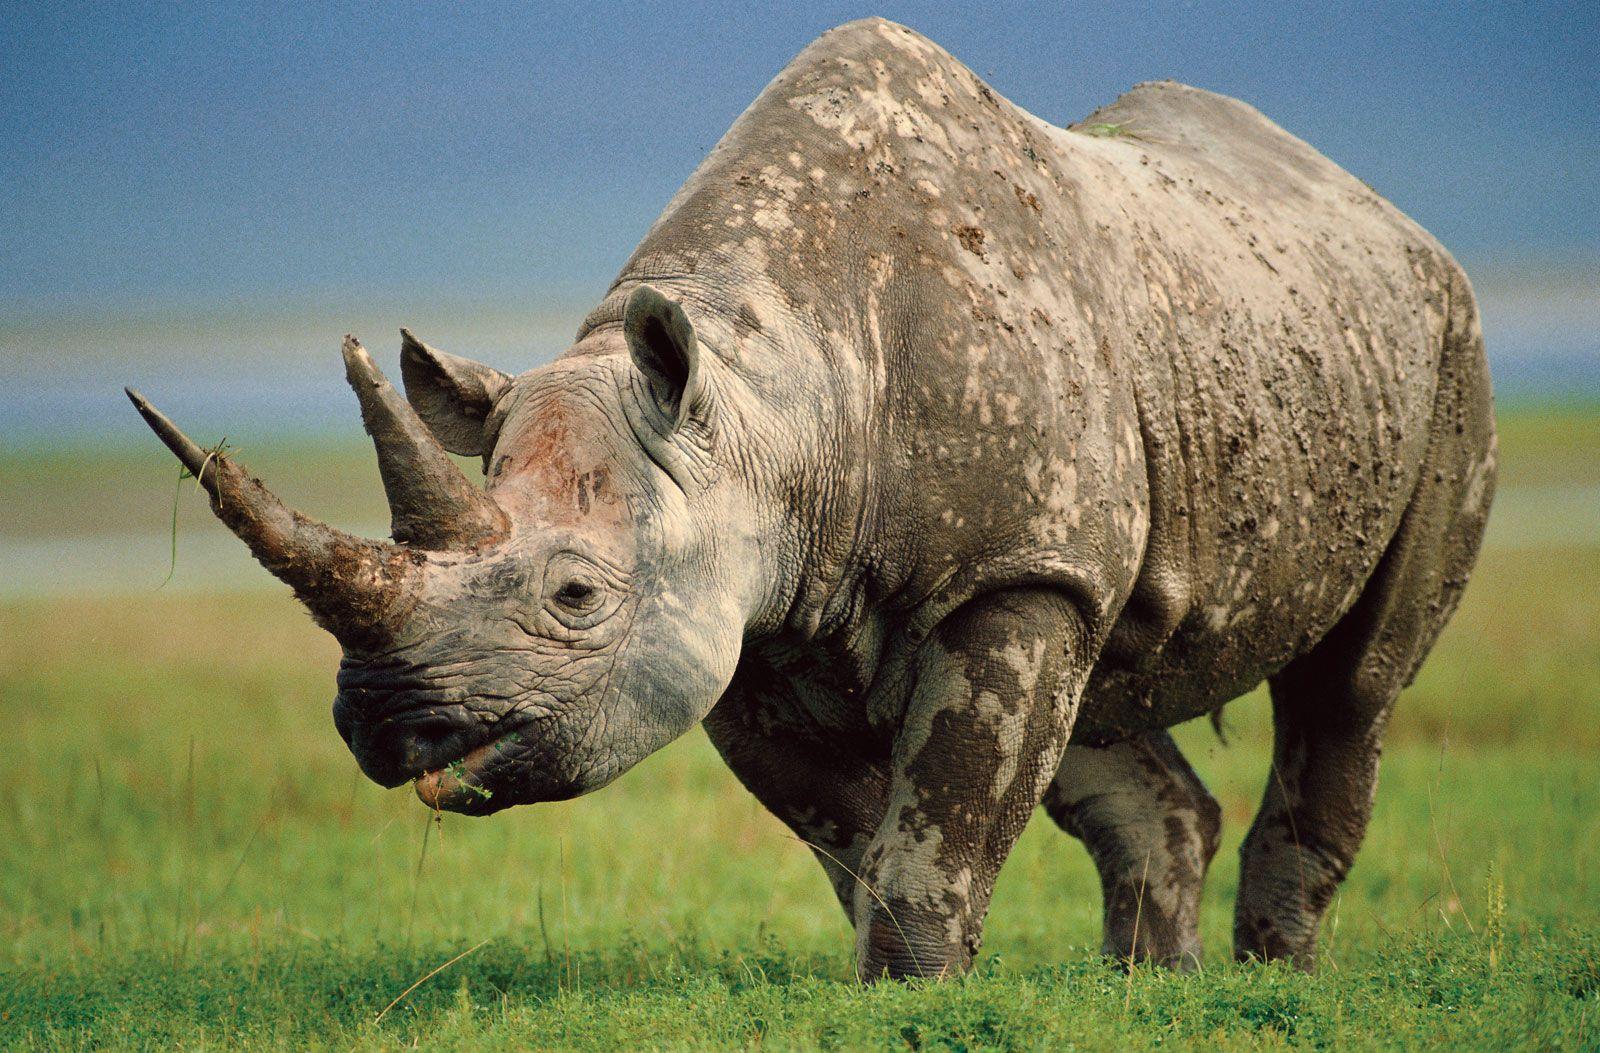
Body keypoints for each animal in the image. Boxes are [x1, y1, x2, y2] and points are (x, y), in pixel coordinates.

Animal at [128, 18, 1495, 979]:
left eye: (574, 595)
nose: (384, 725)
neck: (764, 400)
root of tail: (1377, 209)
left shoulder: (1007, 569)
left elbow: (941, 820)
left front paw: (917, 993)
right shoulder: (741, 607)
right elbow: (864, 840)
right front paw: (892, 992)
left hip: (1438, 343)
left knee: (1353, 687)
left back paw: (1270, 988)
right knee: (1106, 691)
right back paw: (1151, 993)